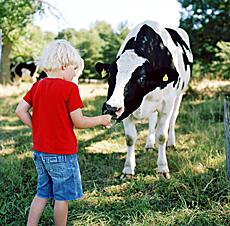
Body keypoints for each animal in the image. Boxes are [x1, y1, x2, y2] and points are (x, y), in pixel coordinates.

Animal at [95, 21, 192, 179]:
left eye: (141, 78)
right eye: (109, 76)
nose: (111, 108)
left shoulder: (166, 105)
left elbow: (162, 135)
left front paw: (162, 168)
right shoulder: (126, 109)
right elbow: (130, 138)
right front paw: (128, 169)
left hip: (179, 95)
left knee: (173, 119)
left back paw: (171, 143)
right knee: (152, 120)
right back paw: (149, 144)